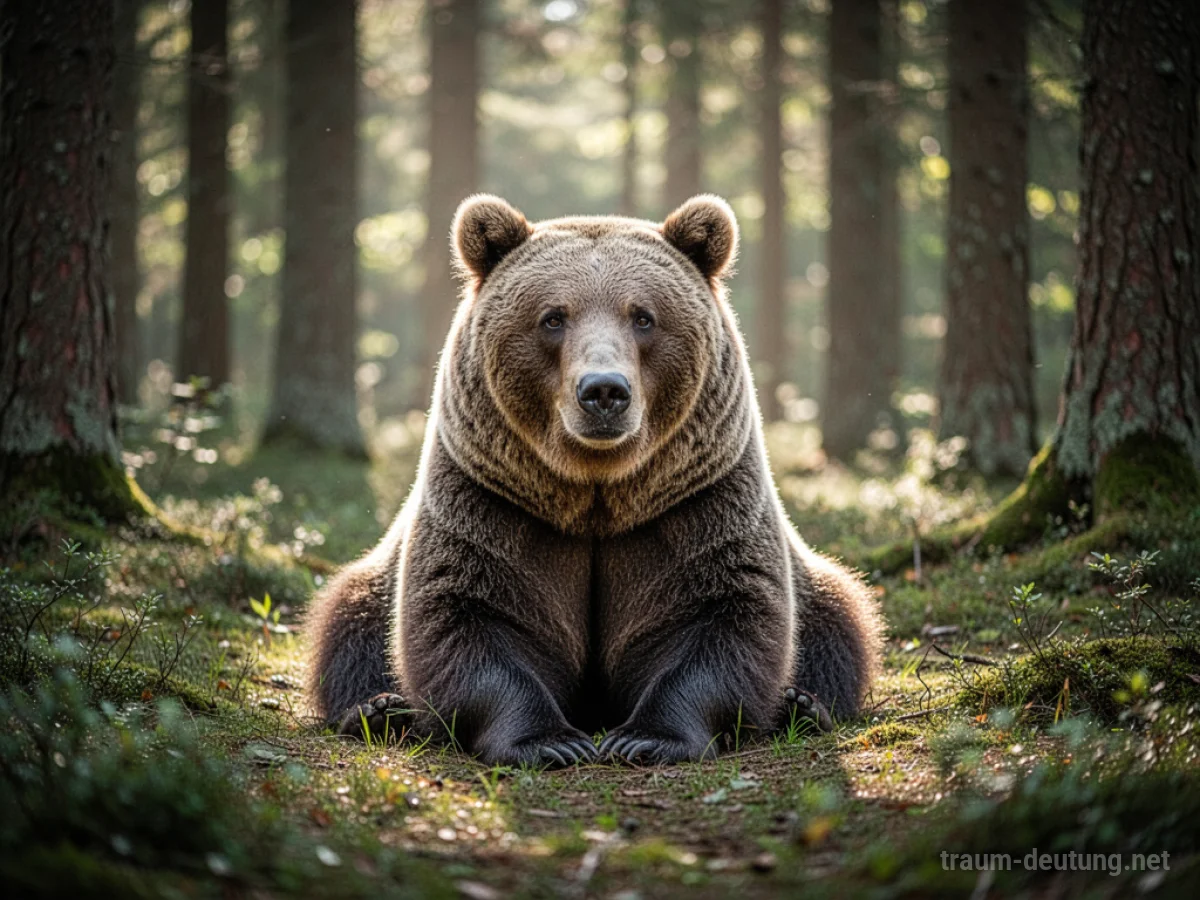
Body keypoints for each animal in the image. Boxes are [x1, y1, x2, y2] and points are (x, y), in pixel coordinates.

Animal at [305, 194, 884, 767]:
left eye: (644, 316)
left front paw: (646, 737)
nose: (604, 390)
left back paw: (802, 705)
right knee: (349, 624)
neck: (597, 492)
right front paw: (551, 742)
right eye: (553, 317)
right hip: (377, 579)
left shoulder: (700, 501)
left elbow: (728, 614)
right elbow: (461, 617)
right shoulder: (489, 500)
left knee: (839, 622)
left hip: (813, 583)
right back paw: (380, 710)